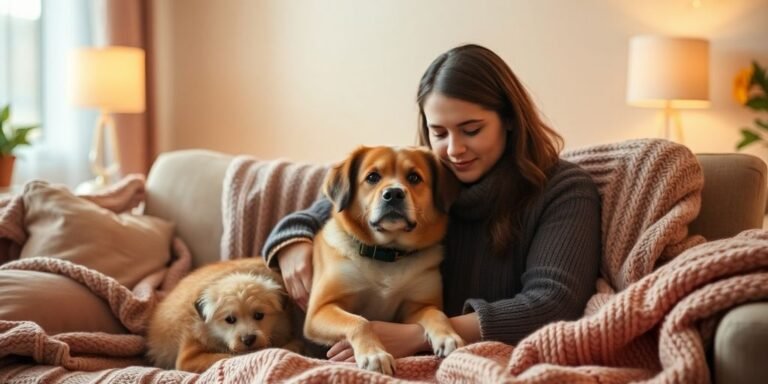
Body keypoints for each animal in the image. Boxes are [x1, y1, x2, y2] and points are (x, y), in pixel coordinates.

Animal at [304, 146, 462, 376]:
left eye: (414, 177)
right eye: (372, 177)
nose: (394, 193)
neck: (387, 254)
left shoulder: (417, 306)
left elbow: (436, 314)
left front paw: (448, 336)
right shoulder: (319, 310)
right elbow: (360, 321)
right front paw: (374, 355)